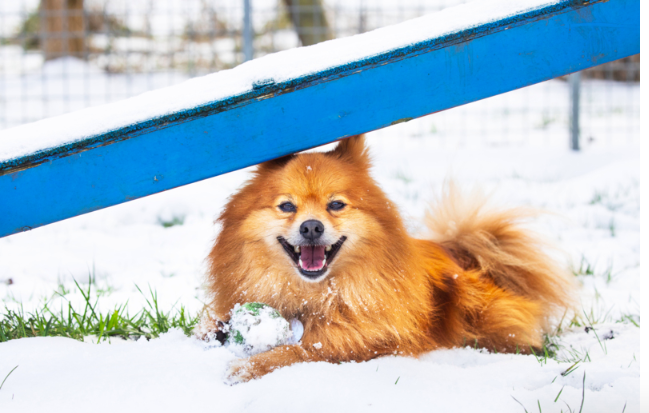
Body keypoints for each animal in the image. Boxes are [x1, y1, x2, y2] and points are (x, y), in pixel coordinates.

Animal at [197, 135, 572, 384]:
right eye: (287, 206)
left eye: (336, 205)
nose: (311, 226)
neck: (312, 295)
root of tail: (465, 255)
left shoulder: (367, 343)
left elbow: (305, 350)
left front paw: (250, 366)